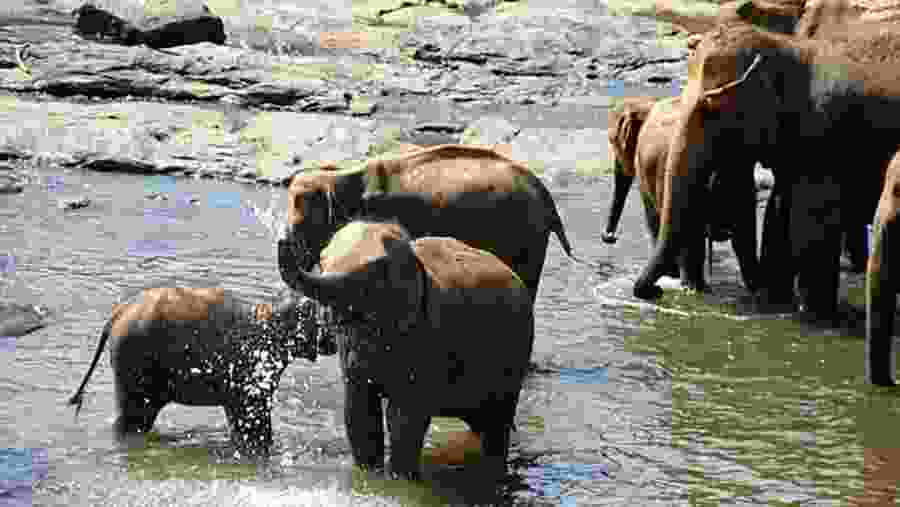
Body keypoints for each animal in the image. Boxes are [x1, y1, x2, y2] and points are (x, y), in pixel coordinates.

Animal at [67, 287, 321, 454]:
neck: (269, 312)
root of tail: (117, 313)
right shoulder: (252, 370)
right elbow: (253, 419)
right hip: (133, 361)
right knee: (134, 418)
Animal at [278, 219, 535, 479]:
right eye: (322, 262)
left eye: (374, 276)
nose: (284, 238)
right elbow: (358, 412)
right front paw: (370, 476)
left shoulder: (425, 336)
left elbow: (404, 419)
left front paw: (400, 479)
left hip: (516, 351)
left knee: (496, 424)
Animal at [603, 95, 761, 293]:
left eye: (613, 142)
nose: (610, 237)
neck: (647, 103)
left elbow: (655, 220)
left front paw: (671, 275)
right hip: (739, 172)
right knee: (743, 230)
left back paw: (692, 286)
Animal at [633, 22, 897, 321]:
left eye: (711, 108)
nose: (656, 292)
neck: (784, 45)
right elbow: (779, 210)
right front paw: (776, 303)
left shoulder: (825, 139)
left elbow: (810, 220)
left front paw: (815, 318)